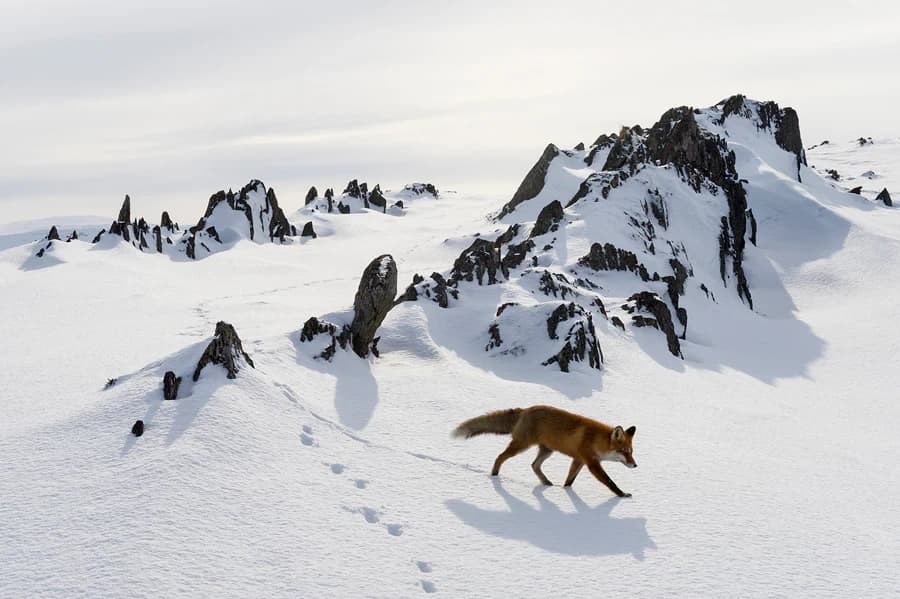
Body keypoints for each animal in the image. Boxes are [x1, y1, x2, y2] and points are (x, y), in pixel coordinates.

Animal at [454, 406, 636, 500]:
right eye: (625, 452)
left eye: (631, 452)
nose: (635, 465)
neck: (596, 439)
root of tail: (526, 409)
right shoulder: (591, 463)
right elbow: (610, 482)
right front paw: (622, 494)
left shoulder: (579, 460)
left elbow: (569, 480)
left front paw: (566, 491)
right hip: (522, 446)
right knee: (500, 457)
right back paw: (494, 476)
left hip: (547, 450)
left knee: (534, 465)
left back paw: (546, 483)